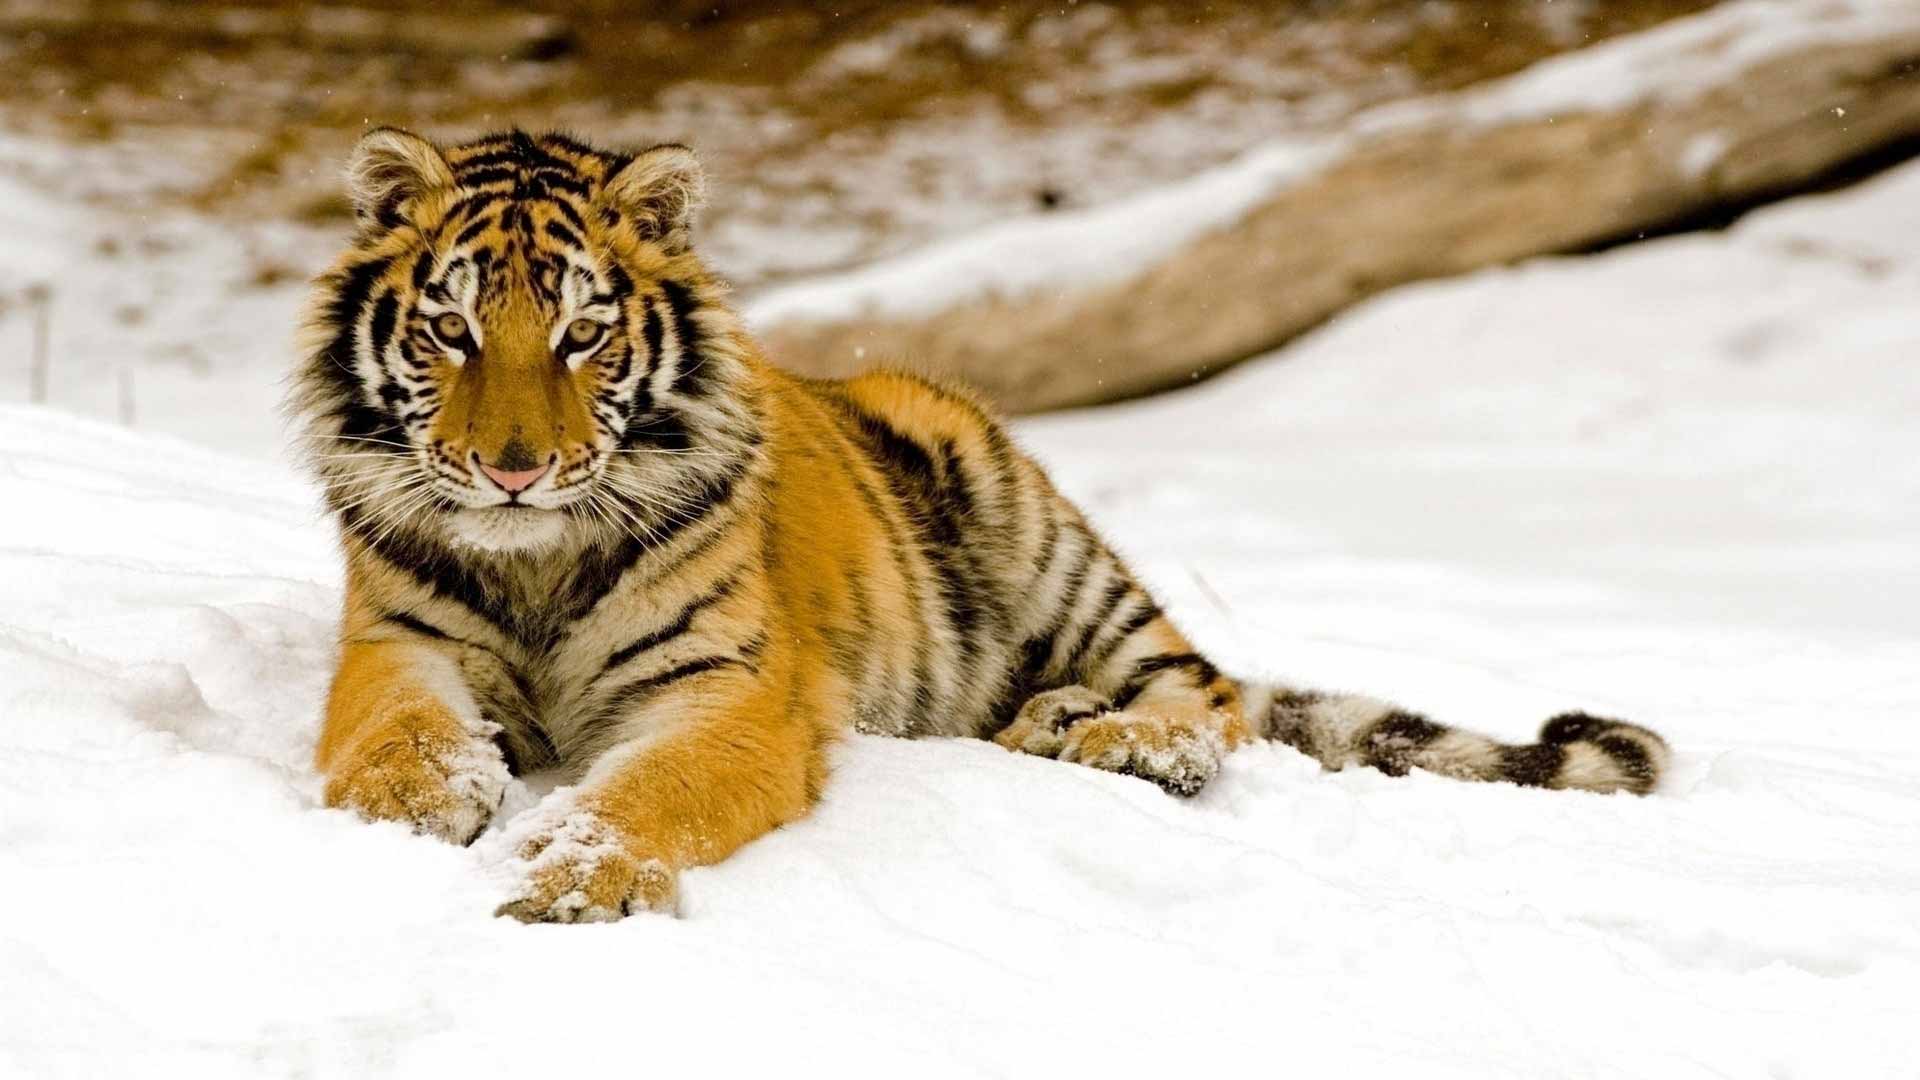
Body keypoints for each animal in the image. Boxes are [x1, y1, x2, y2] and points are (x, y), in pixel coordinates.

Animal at [290, 128, 1670, 923]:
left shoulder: (732, 691)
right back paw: (1052, 722)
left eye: (583, 333)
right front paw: (413, 813)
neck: (536, 559)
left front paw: (572, 875)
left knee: (1210, 695)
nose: (513, 471)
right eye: (451, 330)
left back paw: (1116, 739)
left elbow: (650, 790)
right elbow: (392, 738)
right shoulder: (398, 646)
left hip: (1037, 527)